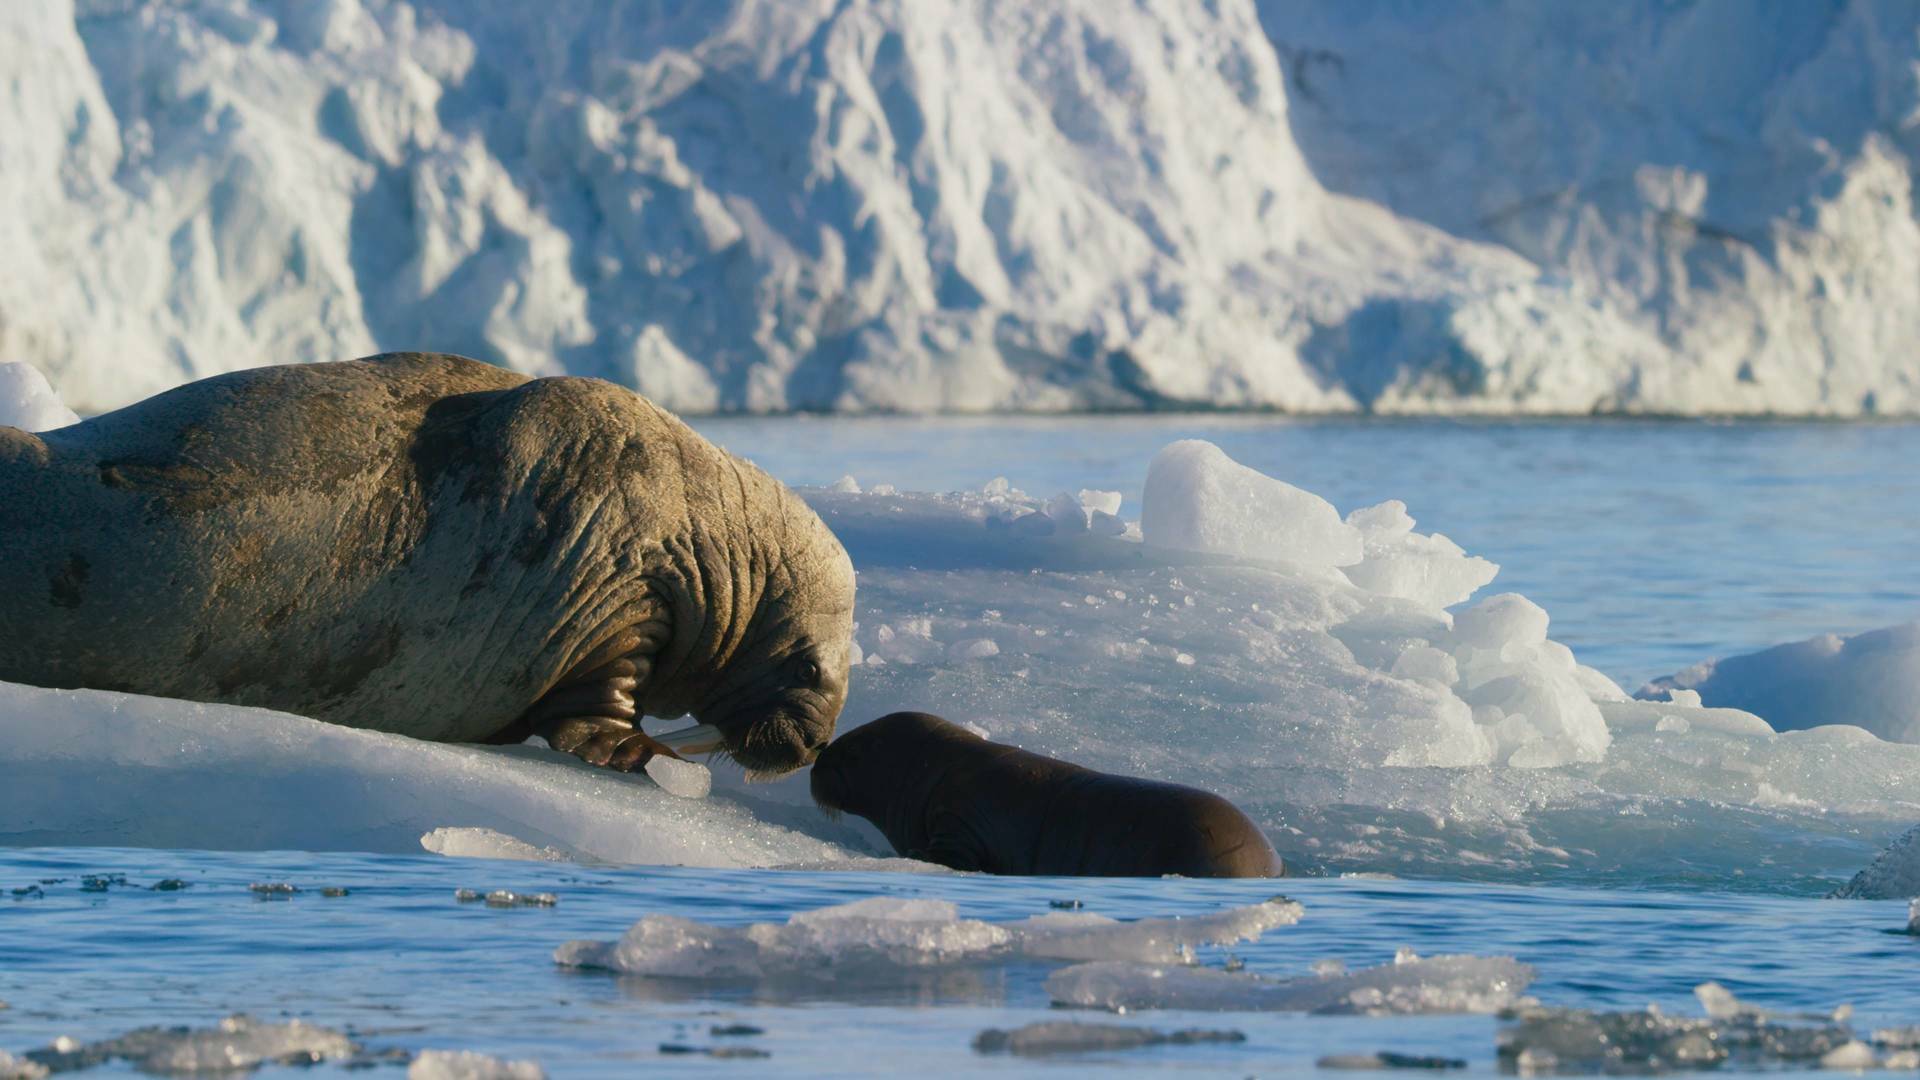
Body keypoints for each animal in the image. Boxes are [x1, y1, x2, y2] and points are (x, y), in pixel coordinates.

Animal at [0, 353, 856, 772]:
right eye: (811, 668)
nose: (813, 746)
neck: (710, 541)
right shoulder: (615, 594)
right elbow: (600, 708)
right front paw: (641, 753)